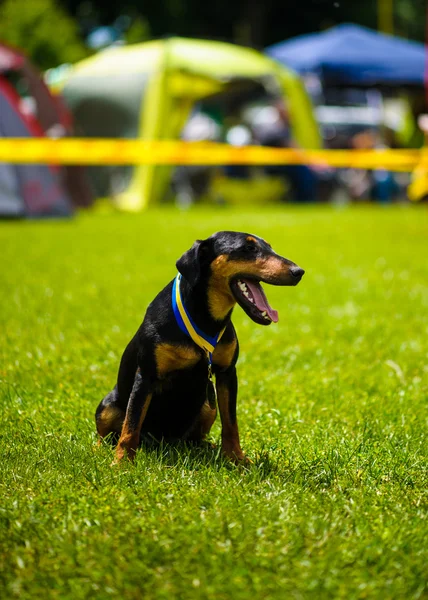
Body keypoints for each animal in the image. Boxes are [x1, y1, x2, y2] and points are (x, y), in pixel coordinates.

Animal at [97, 231, 304, 464]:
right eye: (249, 248)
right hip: (108, 405)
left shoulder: (227, 374)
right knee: (109, 432)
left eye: (269, 246)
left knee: (195, 437)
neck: (206, 318)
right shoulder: (146, 375)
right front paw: (122, 462)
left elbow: (231, 422)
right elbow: (131, 424)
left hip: (207, 406)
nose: (299, 272)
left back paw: (208, 447)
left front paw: (236, 458)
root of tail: (161, 441)